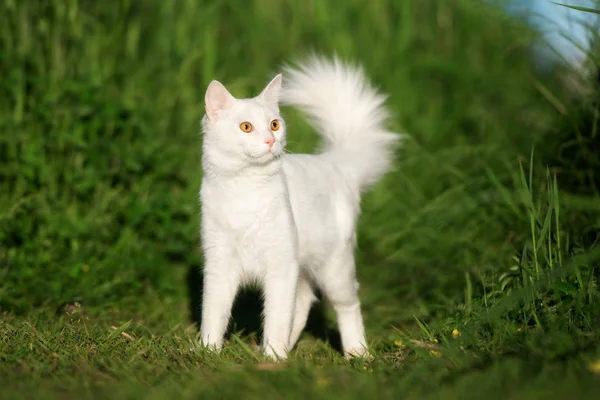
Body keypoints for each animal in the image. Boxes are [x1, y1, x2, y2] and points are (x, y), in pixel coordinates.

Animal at [199, 56, 400, 360]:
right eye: (246, 127)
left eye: (274, 124)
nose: (270, 141)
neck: (245, 189)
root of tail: (334, 162)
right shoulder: (220, 264)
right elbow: (214, 315)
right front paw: (207, 351)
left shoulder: (281, 266)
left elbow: (276, 317)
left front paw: (273, 357)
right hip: (305, 268)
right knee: (305, 304)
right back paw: (283, 348)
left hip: (334, 268)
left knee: (348, 306)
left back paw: (356, 352)